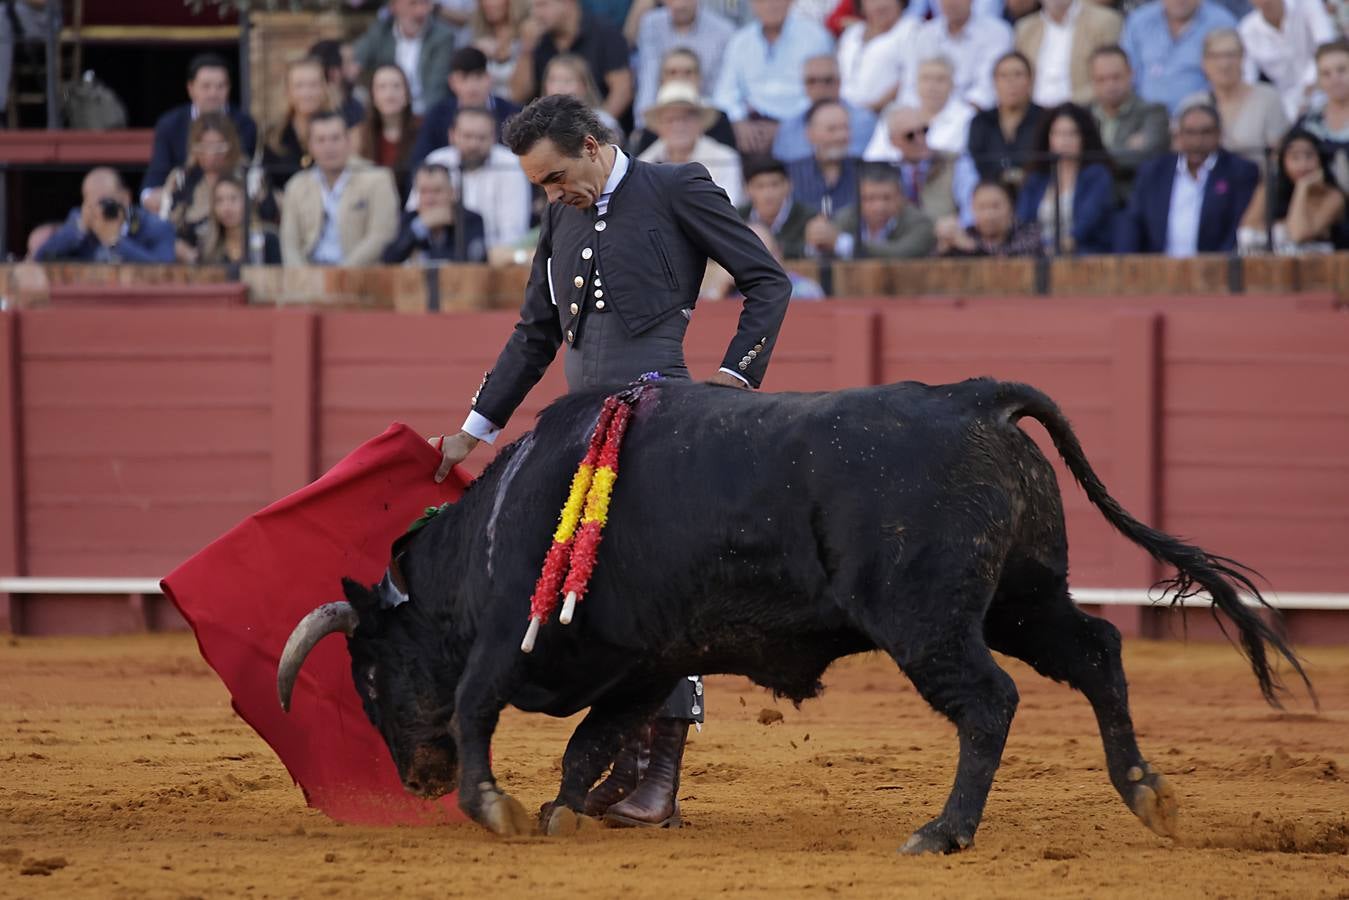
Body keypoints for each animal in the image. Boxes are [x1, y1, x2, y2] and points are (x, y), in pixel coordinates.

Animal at [276, 377, 1305, 852]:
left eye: (369, 672)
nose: (414, 780)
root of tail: (973, 397)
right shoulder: (645, 659)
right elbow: (590, 742)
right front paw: (564, 813)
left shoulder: (500, 641)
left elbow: (478, 705)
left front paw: (493, 805)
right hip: (1023, 600)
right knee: (1093, 653)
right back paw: (1146, 792)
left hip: (927, 620)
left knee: (990, 701)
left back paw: (943, 831)